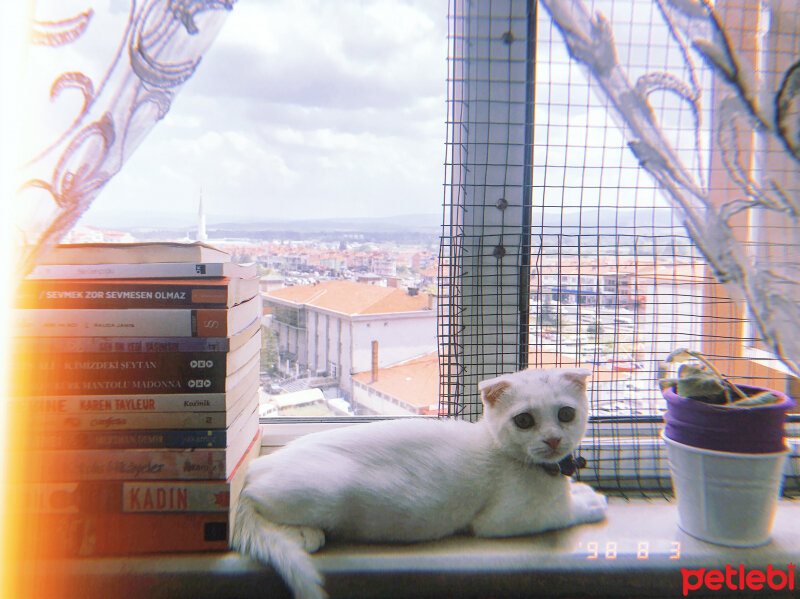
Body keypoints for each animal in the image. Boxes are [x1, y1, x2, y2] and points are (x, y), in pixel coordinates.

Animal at [231, 368, 608, 596]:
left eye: (565, 414)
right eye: (525, 420)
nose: (553, 440)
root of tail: (251, 474)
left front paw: (579, 489)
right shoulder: (504, 519)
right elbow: (561, 512)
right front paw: (590, 501)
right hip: (322, 493)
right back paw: (302, 534)